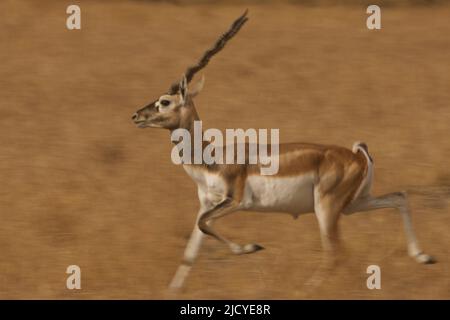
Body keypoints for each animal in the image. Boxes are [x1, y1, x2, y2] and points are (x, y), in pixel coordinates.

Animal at [132, 10, 434, 290]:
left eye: (164, 101)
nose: (136, 116)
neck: (211, 158)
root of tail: (358, 155)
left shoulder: (236, 201)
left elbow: (205, 225)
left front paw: (252, 247)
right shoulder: (207, 203)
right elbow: (191, 251)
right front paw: (172, 290)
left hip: (327, 208)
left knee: (334, 253)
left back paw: (305, 289)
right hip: (353, 204)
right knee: (398, 197)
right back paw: (424, 257)